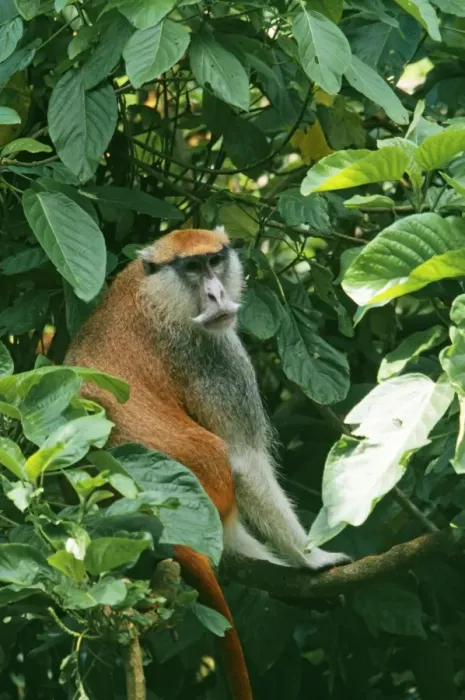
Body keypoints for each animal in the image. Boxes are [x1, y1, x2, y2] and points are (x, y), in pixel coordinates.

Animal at [64, 227, 349, 700]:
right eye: (193, 268)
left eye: (215, 261)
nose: (216, 295)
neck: (153, 292)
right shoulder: (210, 352)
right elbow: (244, 460)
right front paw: (311, 558)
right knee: (219, 461)